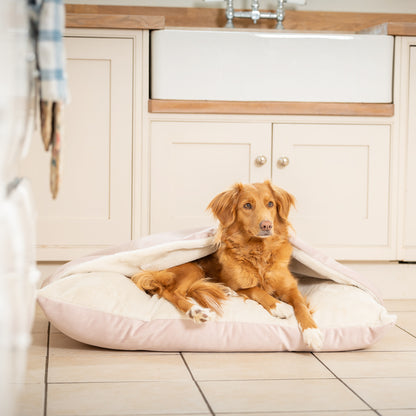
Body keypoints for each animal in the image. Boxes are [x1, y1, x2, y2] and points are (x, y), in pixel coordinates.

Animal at [132, 180, 324, 350]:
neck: (259, 252)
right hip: (191, 268)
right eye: (247, 205)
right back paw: (197, 311)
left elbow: (301, 306)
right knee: (171, 292)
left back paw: (224, 291)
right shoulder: (240, 285)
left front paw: (312, 332)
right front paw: (278, 306)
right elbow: (257, 290)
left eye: (270, 203)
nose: (267, 225)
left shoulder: (290, 287)